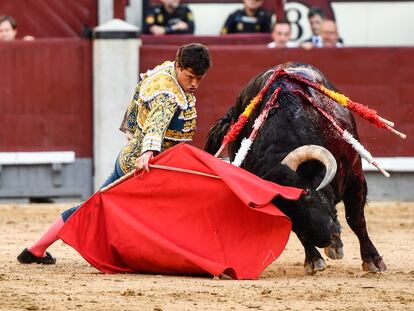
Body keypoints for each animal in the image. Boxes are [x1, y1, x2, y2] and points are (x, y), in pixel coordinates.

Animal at [205, 62, 386, 274]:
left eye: (306, 192)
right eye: (280, 207)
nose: (326, 238)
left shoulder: (355, 177)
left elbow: (356, 219)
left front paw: (372, 260)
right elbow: (298, 230)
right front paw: (314, 259)